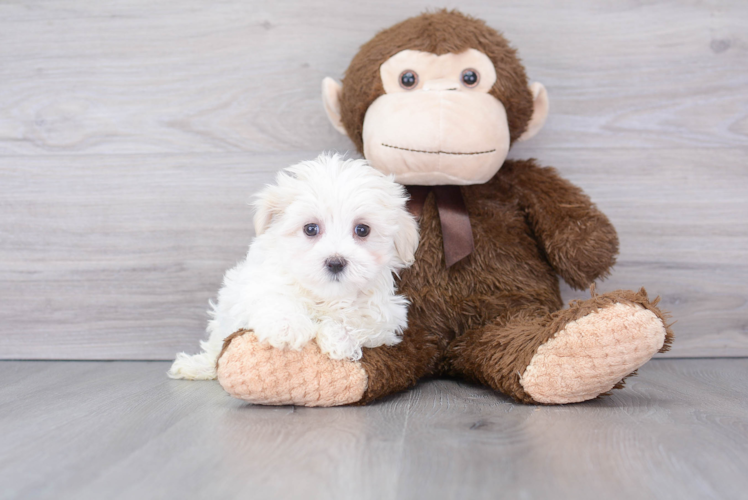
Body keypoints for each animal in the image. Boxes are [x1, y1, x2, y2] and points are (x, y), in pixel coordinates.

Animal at [166, 154, 418, 380]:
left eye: (363, 230)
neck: (324, 296)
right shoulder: (258, 283)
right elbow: (276, 297)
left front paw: (339, 340)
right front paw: (287, 328)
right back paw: (195, 366)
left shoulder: (387, 317)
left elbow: (360, 318)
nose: (335, 262)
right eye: (310, 229)